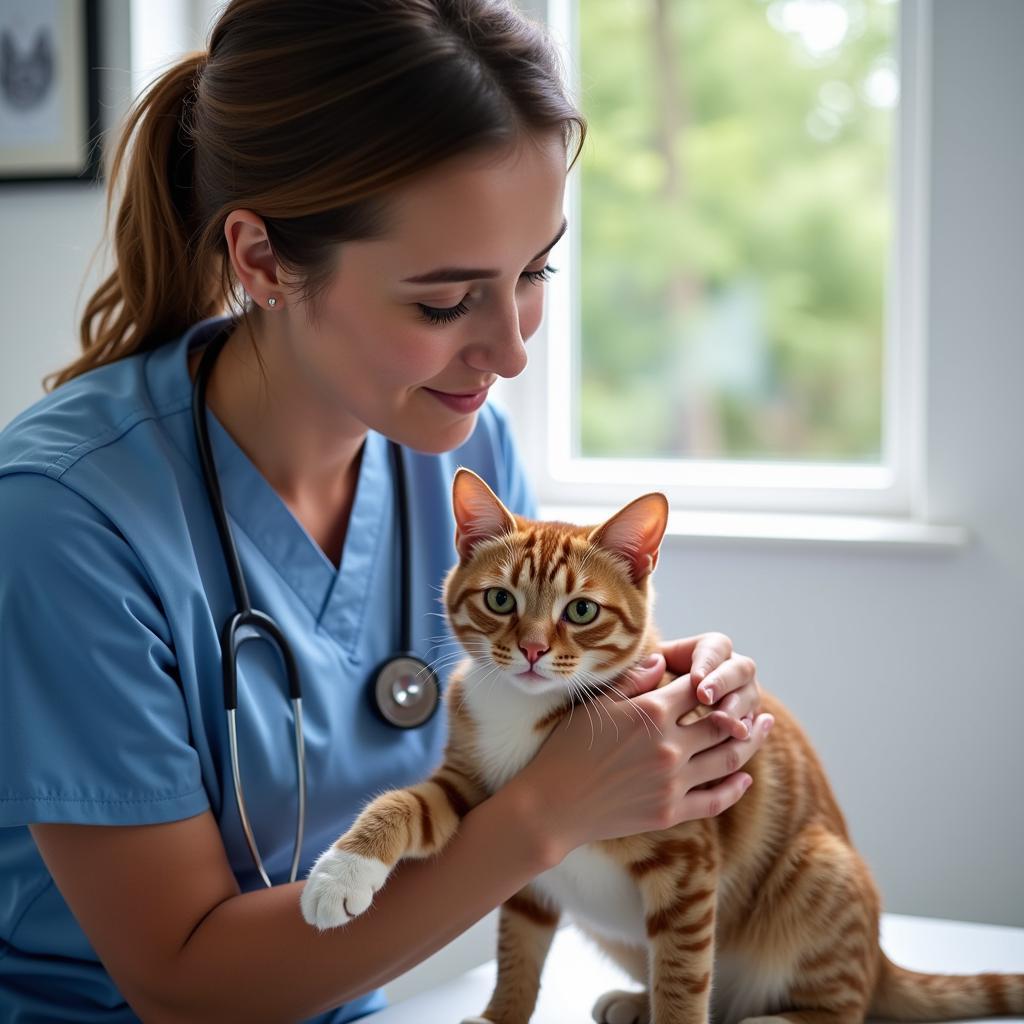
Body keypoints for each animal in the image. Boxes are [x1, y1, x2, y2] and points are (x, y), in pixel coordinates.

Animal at [301, 468, 1024, 1019]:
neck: (527, 712)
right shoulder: (486, 806)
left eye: (581, 611)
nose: (531, 650)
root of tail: (879, 956)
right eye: (501, 600)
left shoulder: (687, 864)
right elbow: (493, 917)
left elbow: (682, 976)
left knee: (835, 1007)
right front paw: (343, 872)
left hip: (821, 872)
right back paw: (634, 1003)